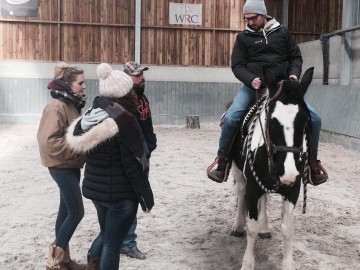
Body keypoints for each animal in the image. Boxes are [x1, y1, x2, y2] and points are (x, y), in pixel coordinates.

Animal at [231, 68, 312, 270]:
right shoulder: (253, 187)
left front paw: (288, 264)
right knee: (241, 192)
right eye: (272, 120)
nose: (288, 172)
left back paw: (265, 228)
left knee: (264, 199)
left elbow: (288, 229)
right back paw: (237, 225)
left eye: (305, 119)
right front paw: (247, 263)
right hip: (238, 172)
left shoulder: (293, 189)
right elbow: (251, 227)